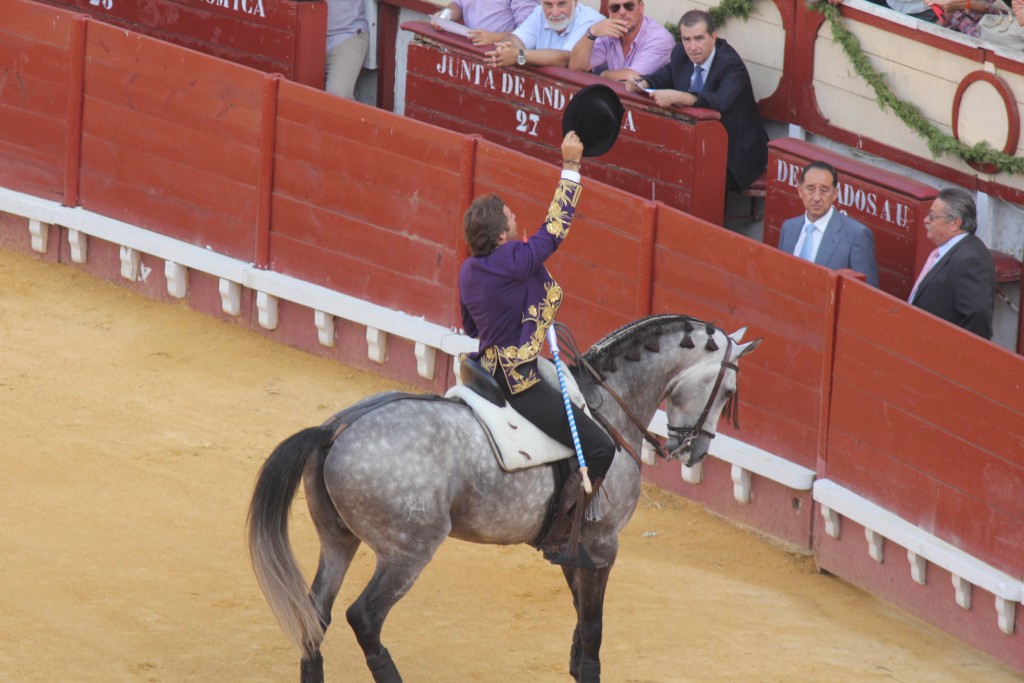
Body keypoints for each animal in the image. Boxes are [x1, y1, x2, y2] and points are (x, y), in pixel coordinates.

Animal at [247, 313, 761, 679]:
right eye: (729, 390)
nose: (695, 451)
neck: (607, 408)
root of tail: (333, 431)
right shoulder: (603, 543)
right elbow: (593, 627)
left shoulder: (574, 546)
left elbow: (580, 619)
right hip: (408, 551)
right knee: (365, 618)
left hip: (337, 540)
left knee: (314, 615)